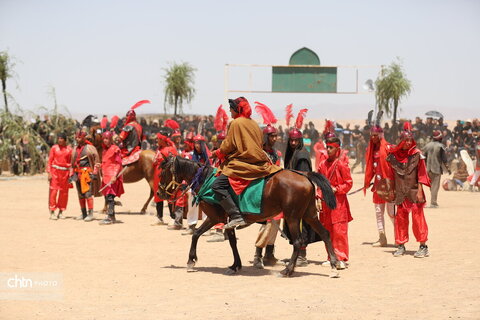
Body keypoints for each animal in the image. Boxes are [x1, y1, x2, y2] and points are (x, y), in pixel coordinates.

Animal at [159, 156, 340, 276]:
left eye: (163, 173)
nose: (161, 193)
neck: (206, 181)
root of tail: (305, 175)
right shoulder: (227, 221)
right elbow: (231, 242)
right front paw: (235, 265)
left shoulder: (214, 218)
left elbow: (196, 234)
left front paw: (191, 261)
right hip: (309, 215)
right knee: (325, 234)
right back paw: (334, 264)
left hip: (293, 217)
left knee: (298, 241)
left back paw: (288, 270)